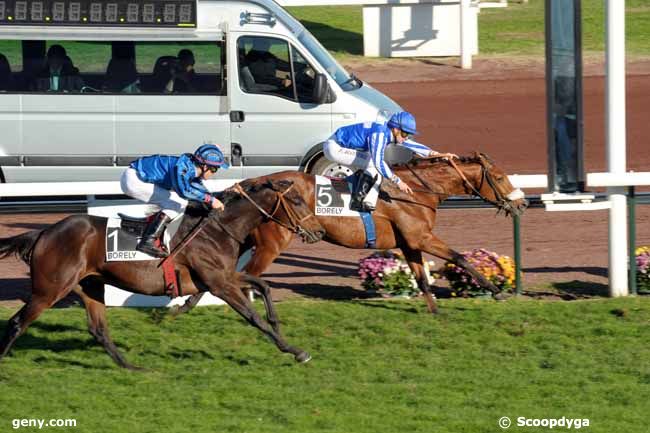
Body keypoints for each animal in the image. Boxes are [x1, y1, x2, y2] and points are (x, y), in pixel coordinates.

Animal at [0, 179, 324, 368]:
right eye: (296, 201)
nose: (319, 231)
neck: (219, 229)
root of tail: (43, 233)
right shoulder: (219, 283)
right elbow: (253, 317)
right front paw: (294, 349)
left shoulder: (222, 276)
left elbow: (264, 286)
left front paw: (281, 330)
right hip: (50, 289)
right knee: (17, 322)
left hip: (89, 285)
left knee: (98, 330)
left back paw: (132, 367)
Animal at [177, 153, 528, 314]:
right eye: (500, 177)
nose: (522, 202)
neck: (415, 192)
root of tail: (254, 182)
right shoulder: (421, 238)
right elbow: (459, 259)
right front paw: (497, 291)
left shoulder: (409, 243)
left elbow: (422, 277)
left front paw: (434, 310)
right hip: (272, 243)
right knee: (247, 274)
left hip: (247, 237)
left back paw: (189, 303)